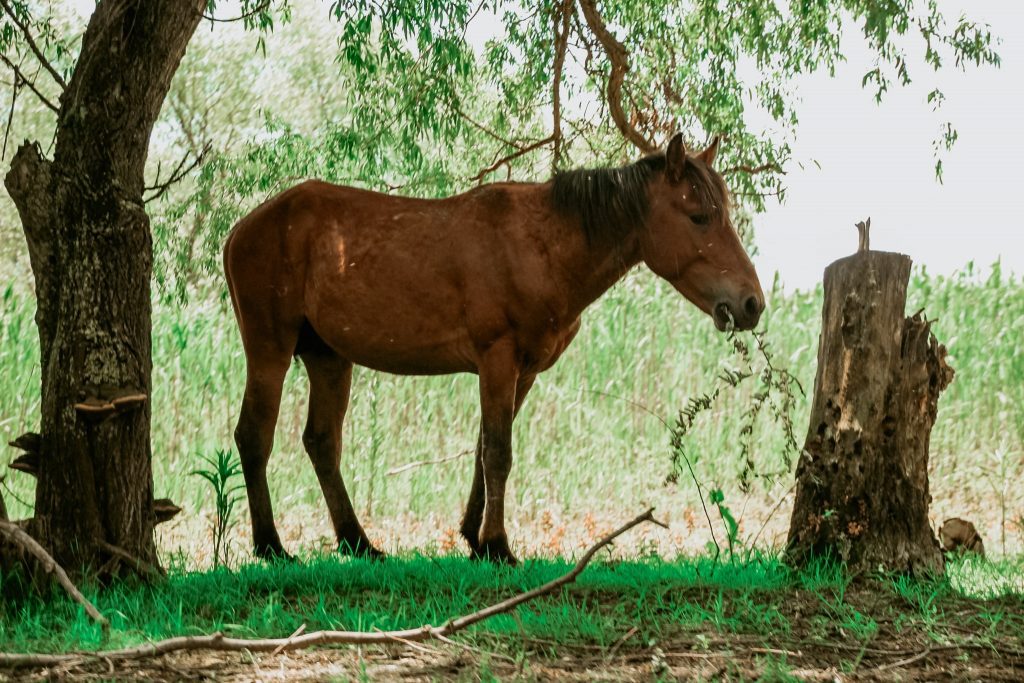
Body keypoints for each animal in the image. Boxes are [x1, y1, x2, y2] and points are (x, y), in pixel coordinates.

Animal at [226, 131, 770, 565]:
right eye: (699, 217)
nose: (751, 304)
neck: (544, 245)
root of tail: (241, 229)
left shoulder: (521, 371)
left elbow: (484, 450)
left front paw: (473, 536)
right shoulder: (497, 359)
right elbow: (498, 453)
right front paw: (498, 545)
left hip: (329, 359)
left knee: (322, 443)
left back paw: (357, 542)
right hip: (270, 352)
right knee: (254, 437)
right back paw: (271, 545)